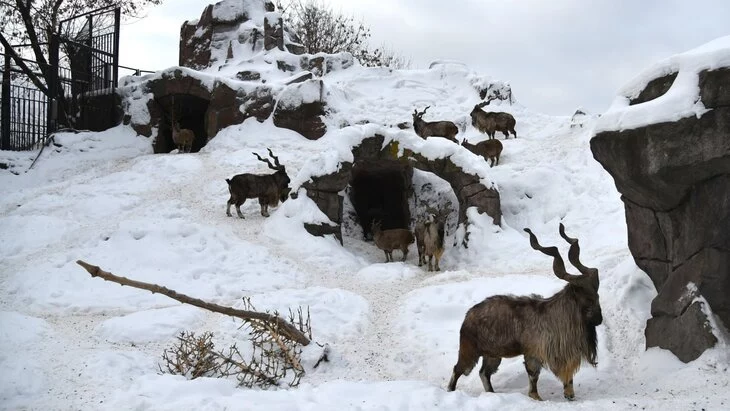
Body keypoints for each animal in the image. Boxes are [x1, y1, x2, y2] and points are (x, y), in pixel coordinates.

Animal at [446, 225, 600, 402]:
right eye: (587, 297)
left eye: (597, 295)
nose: (599, 319)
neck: (555, 316)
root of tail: (467, 317)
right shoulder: (533, 354)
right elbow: (533, 375)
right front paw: (536, 397)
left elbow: (568, 379)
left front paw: (569, 395)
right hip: (469, 351)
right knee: (458, 369)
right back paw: (451, 391)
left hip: (493, 355)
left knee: (484, 373)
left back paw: (491, 393)